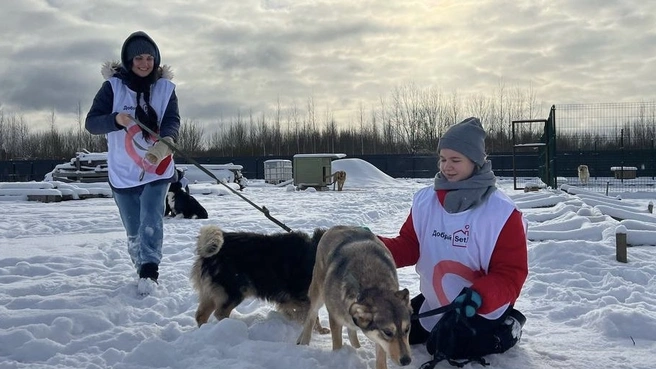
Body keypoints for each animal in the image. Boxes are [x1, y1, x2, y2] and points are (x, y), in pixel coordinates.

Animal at [192, 223, 330, 332]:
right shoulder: (305, 298)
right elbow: (313, 317)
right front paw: (319, 331)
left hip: (211, 293)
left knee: (201, 315)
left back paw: (204, 330)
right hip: (234, 290)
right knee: (220, 312)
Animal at [296, 224, 410, 368]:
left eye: (407, 329)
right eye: (388, 332)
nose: (407, 360)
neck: (372, 285)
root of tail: (338, 226)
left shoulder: (379, 339)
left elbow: (380, 359)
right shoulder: (335, 319)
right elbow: (337, 345)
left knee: (351, 331)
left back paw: (357, 348)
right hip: (318, 292)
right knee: (311, 315)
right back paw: (304, 342)